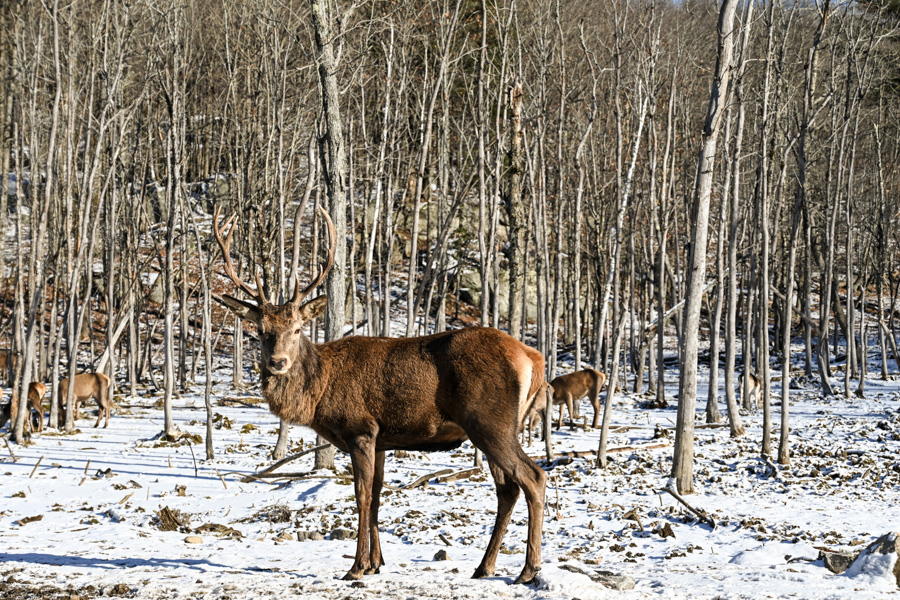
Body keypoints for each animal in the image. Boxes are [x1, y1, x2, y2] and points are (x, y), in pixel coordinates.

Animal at [214, 207, 548, 584]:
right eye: (261, 330)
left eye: (298, 329)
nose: (278, 362)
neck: (319, 393)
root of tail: (533, 358)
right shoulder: (382, 439)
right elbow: (376, 497)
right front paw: (376, 563)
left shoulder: (360, 429)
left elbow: (361, 496)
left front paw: (356, 567)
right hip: (498, 426)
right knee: (508, 489)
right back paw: (484, 566)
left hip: (490, 421)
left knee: (533, 477)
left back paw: (528, 569)